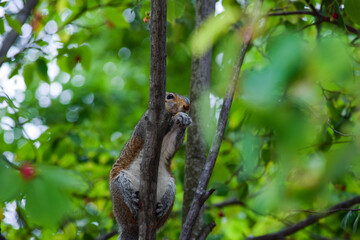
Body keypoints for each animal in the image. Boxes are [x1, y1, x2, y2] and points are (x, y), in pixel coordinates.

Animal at [109, 92, 193, 240]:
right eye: (169, 96)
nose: (186, 106)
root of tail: (131, 229)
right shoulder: (146, 123)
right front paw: (177, 117)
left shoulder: (172, 144)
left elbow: (176, 142)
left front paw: (184, 120)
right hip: (120, 185)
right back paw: (131, 199)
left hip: (170, 187)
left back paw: (162, 207)